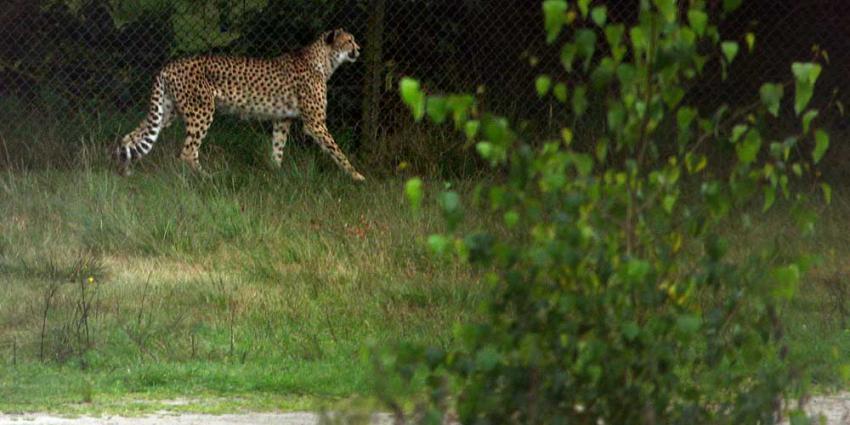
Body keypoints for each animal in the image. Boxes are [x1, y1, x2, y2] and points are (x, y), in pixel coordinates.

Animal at [113, 28, 364, 181]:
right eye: (349, 41)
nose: (359, 49)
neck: (324, 61)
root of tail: (169, 65)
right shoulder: (315, 123)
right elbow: (337, 151)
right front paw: (356, 176)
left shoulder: (282, 120)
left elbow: (278, 148)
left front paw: (276, 174)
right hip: (201, 112)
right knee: (187, 152)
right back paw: (206, 178)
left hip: (167, 112)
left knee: (131, 137)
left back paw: (125, 171)